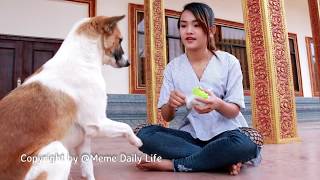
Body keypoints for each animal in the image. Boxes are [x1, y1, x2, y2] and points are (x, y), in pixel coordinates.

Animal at [0, 15, 142, 180]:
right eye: (120, 39)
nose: (128, 63)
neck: (81, 60)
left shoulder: (84, 140)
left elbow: (88, 169)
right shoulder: (98, 123)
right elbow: (126, 126)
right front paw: (137, 141)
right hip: (58, 151)